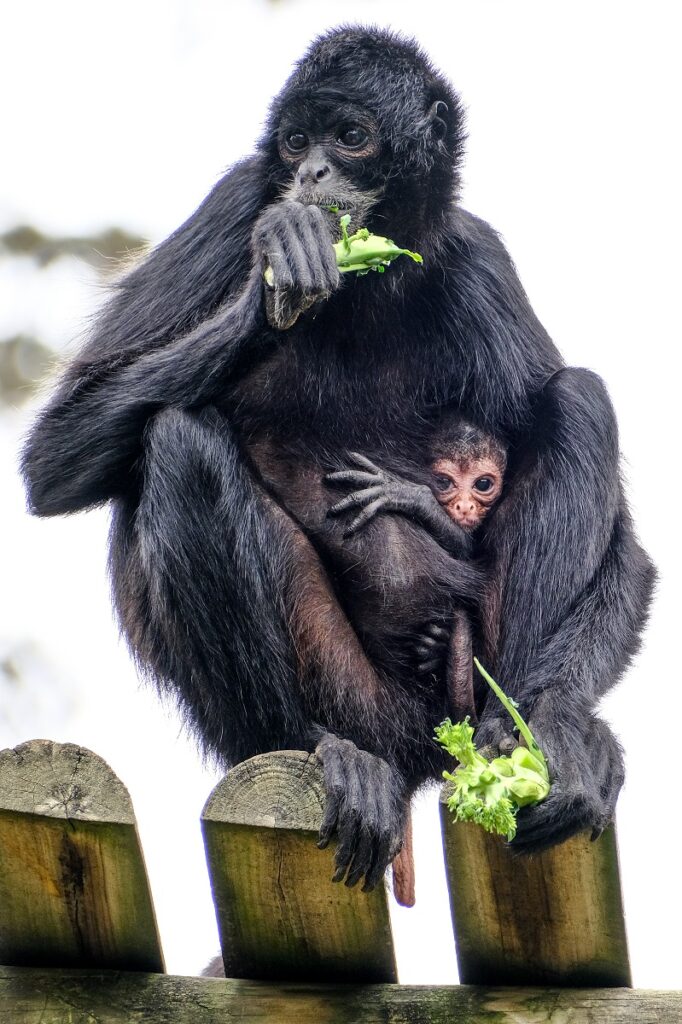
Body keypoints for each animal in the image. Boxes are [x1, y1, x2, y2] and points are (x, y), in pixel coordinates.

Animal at [21, 28, 651, 897]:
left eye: (350, 137)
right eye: (295, 143)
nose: (311, 175)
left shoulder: (476, 254)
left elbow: (634, 559)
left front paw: (554, 735)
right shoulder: (238, 197)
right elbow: (55, 462)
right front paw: (281, 269)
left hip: (463, 670)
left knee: (580, 398)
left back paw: (514, 740)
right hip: (351, 691)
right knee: (177, 439)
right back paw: (325, 749)